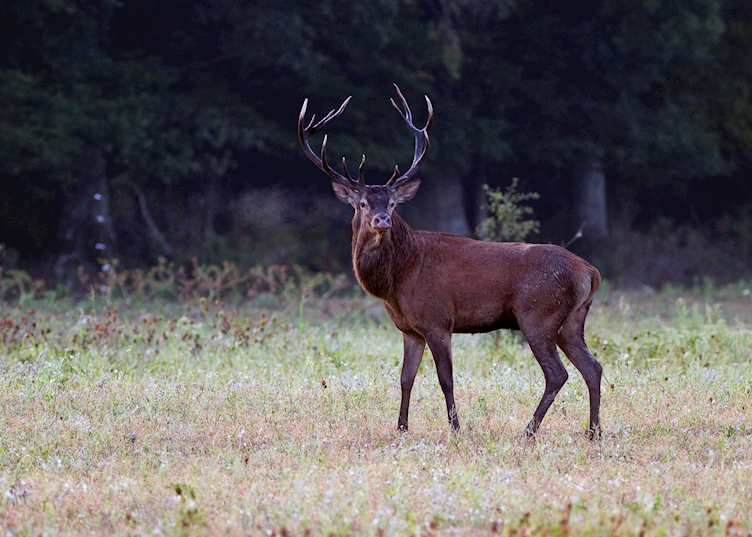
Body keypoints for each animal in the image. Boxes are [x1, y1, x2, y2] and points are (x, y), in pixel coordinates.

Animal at [298, 84, 603, 439]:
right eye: (362, 203)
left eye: (392, 203)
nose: (382, 220)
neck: (399, 278)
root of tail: (590, 272)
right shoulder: (410, 329)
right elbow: (406, 378)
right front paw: (401, 428)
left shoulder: (438, 320)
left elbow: (446, 380)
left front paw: (456, 428)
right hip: (572, 320)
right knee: (593, 367)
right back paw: (594, 431)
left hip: (538, 314)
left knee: (557, 373)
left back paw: (529, 430)